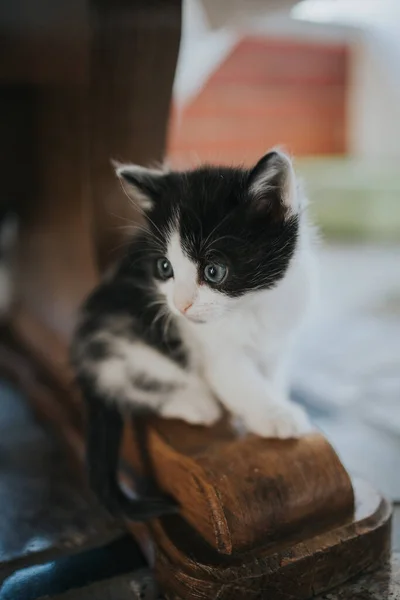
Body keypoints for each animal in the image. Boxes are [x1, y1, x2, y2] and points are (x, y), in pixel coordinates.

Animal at [71, 150, 316, 520]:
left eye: (214, 271)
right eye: (164, 268)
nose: (180, 304)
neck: (251, 306)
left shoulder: (281, 334)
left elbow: (272, 372)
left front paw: (273, 400)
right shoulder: (211, 349)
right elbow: (240, 381)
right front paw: (277, 416)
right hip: (124, 336)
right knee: (128, 381)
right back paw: (195, 402)